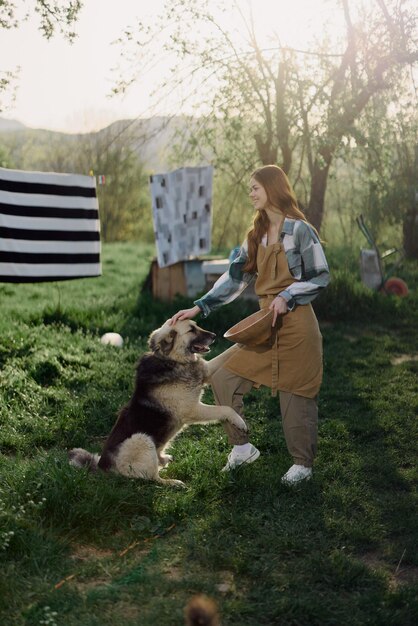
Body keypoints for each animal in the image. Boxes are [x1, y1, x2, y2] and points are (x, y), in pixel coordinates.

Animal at [68, 320, 245, 486]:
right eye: (191, 330)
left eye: (196, 325)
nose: (214, 336)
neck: (171, 360)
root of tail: (102, 467)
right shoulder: (193, 409)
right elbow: (225, 409)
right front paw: (240, 421)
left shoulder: (207, 371)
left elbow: (227, 353)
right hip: (142, 439)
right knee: (152, 478)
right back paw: (173, 483)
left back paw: (163, 459)